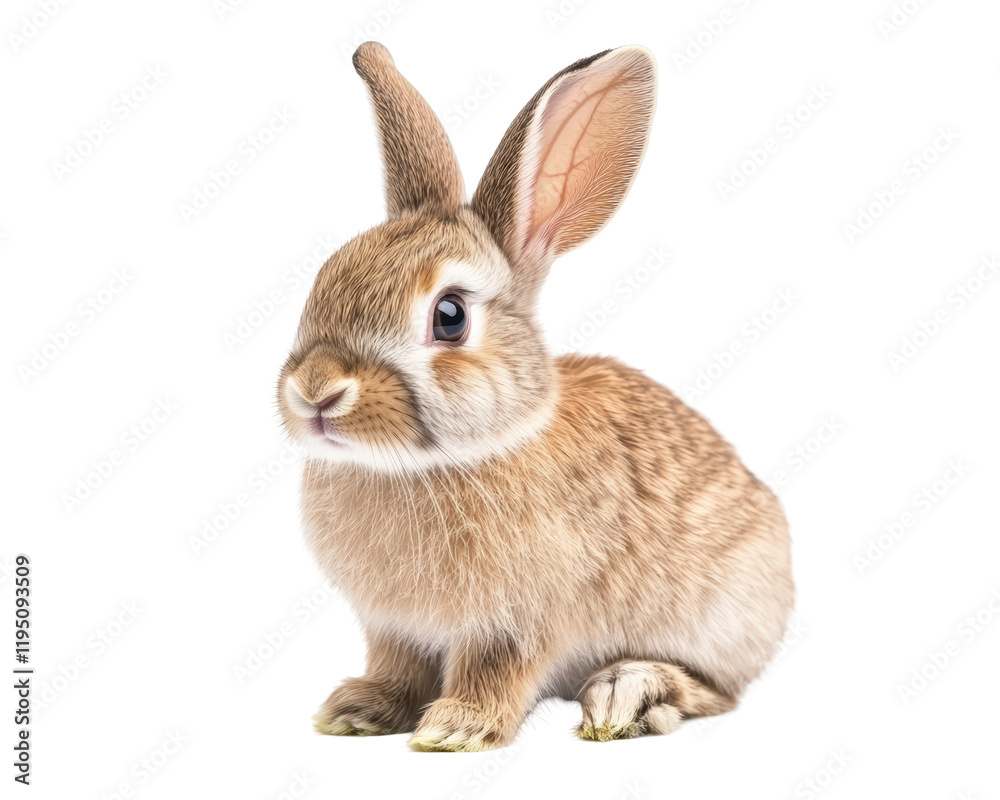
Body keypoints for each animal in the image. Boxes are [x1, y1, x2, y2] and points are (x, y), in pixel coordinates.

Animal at [276, 41, 794, 751]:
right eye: (324, 278)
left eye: (449, 317)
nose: (315, 392)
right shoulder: (394, 629)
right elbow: (397, 669)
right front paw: (359, 710)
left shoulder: (519, 622)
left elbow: (497, 672)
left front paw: (456, 729)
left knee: (716, 690)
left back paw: (628, 694)